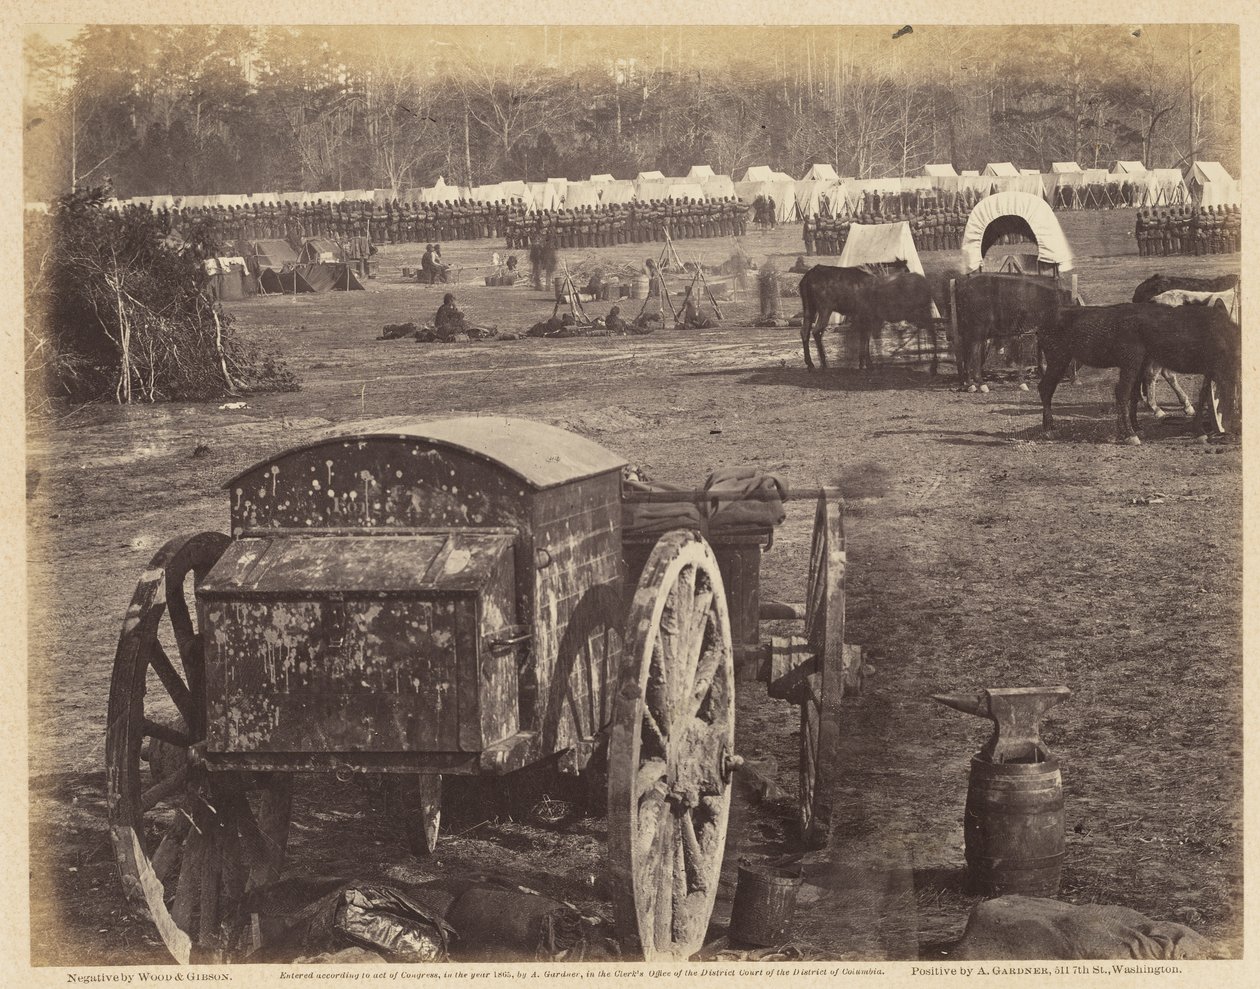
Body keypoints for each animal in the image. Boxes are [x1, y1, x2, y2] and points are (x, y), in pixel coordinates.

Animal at [1033, 301, 1239, 440]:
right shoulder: (1131, 364)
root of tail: (1041, 324)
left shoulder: (1141, 365)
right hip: (1058, 360)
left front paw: (1136, 427)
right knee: (1045, 388)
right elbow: (1124, 393)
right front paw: (1130, 433)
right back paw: (1049, 429)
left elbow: (1134, 395)